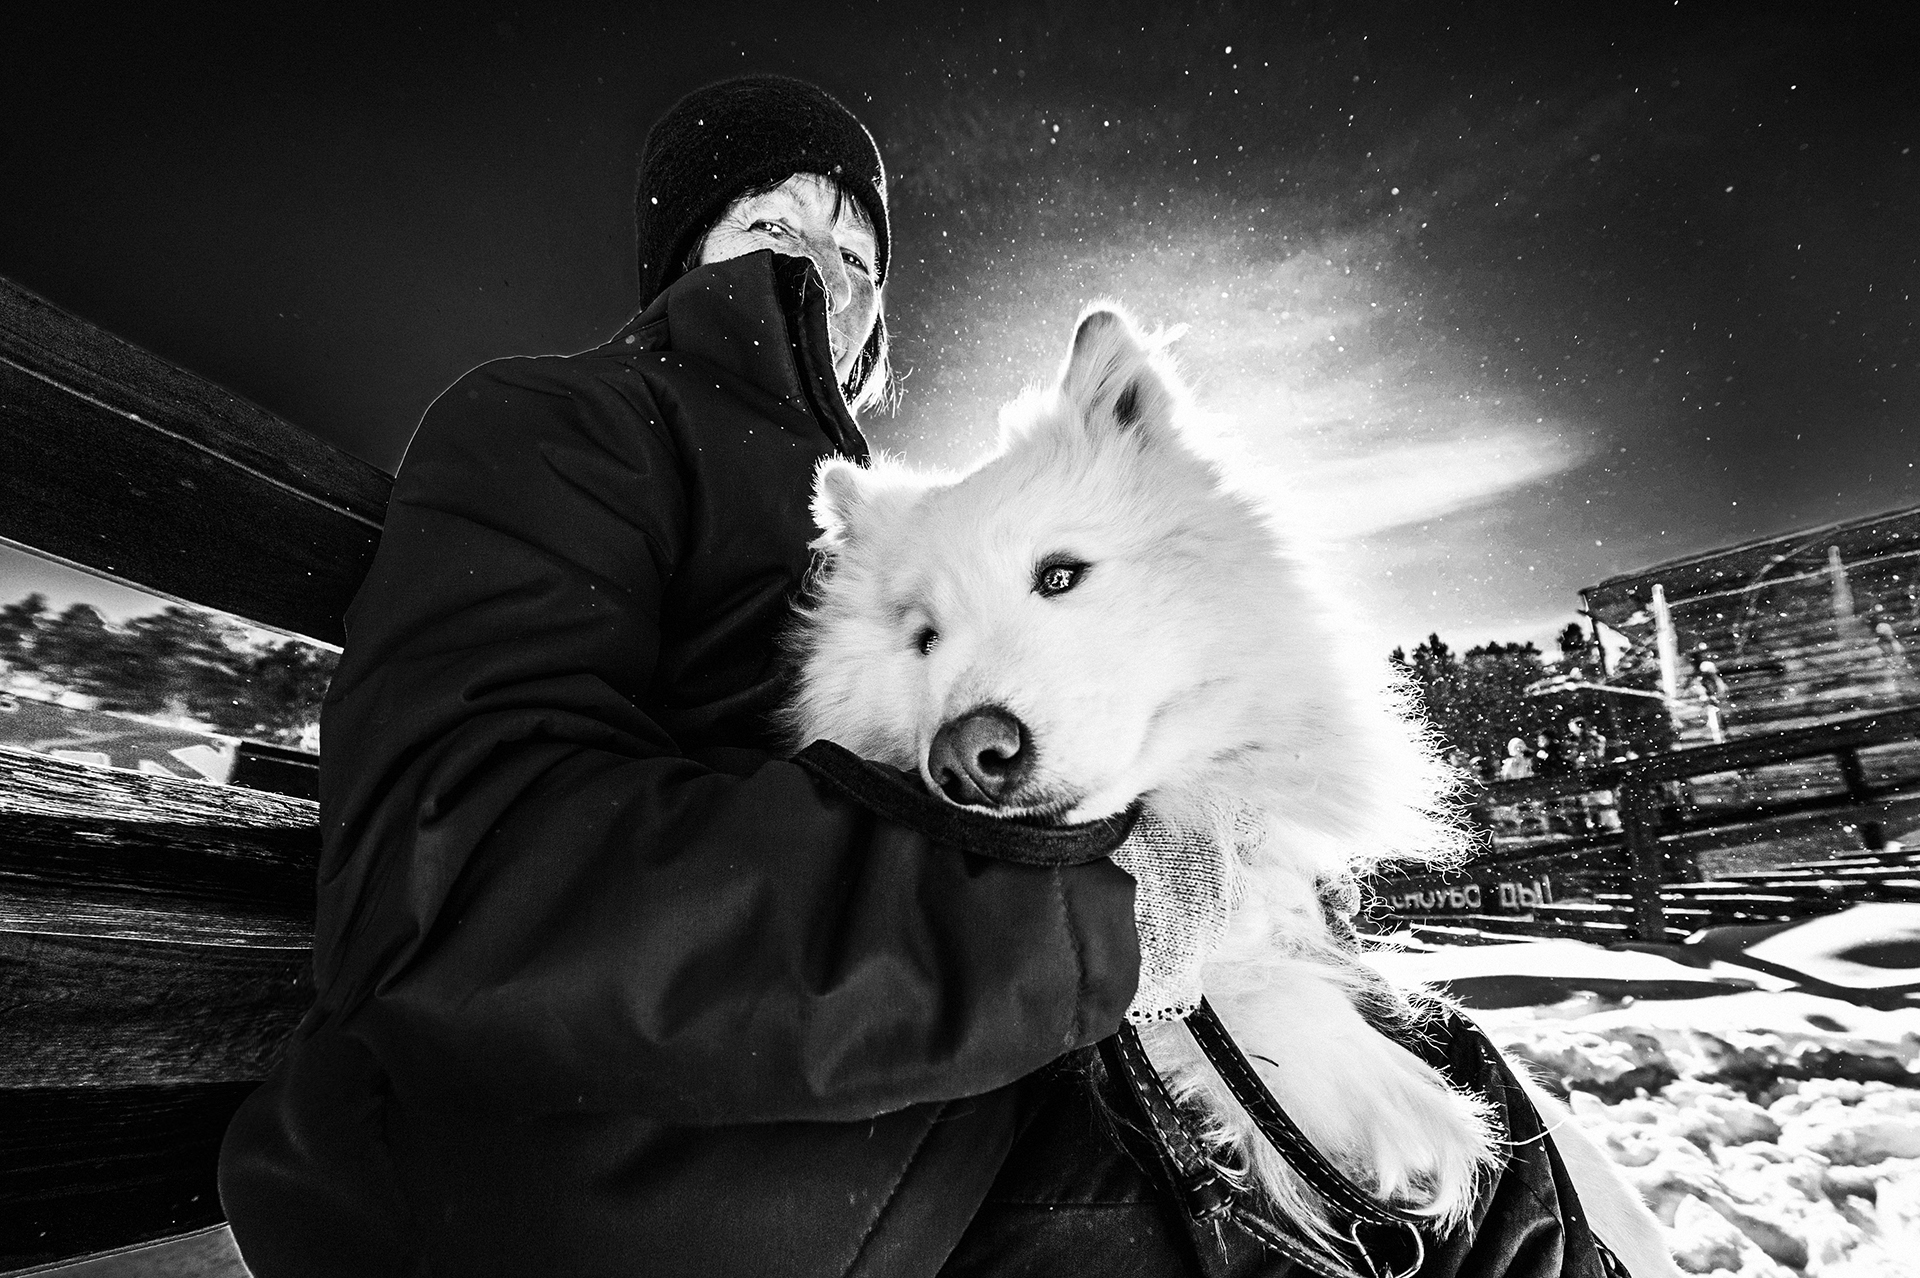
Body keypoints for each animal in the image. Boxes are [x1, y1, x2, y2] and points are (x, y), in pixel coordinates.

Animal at [779, 308, 1681, 1274]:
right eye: (924, 640)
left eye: (1059, 575)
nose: (965, 754)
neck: (1185, 823)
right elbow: (1275, 1022)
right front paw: (1413, 1111)